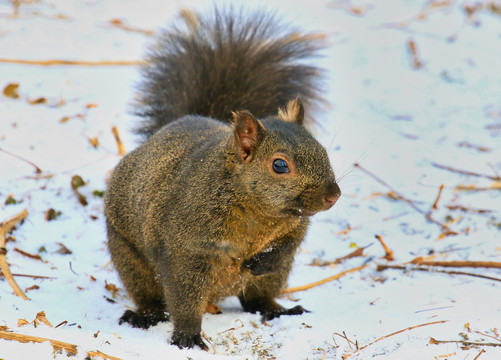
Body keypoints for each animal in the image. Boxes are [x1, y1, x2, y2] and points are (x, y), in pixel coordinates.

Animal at [105, 7, 340, 352]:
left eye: (322, 149)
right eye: (280, 165)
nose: (333, 194)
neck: (260, 214)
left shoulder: (296, 225)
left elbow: (289, 244)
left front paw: (260, 261)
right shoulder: (186, 248)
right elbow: (185, 297)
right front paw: (187, 336)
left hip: (274, 279)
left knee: (256, 300)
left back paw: (280, 309)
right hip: (130, 259)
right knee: (151, 296)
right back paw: (144, 316)